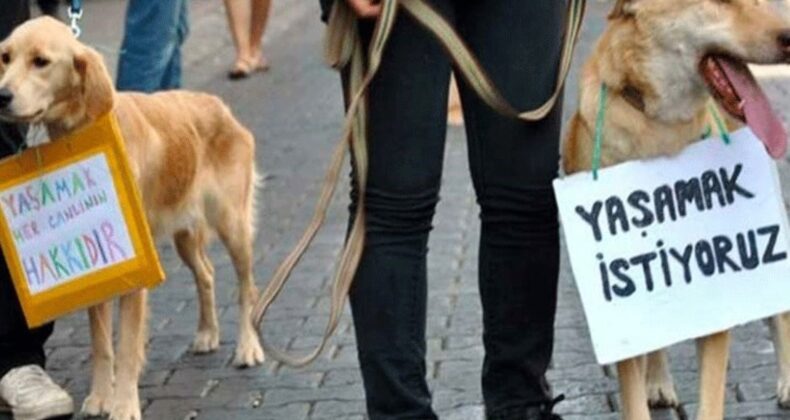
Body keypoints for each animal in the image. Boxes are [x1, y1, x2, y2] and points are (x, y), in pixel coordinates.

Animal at [0, 17, 266, 420]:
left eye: (40, 61)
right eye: (5, 57)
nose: (1, 95)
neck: (81, 128)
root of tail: (218, 105)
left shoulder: (135, 273)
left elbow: (126, 347)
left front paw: (124, 405)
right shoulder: (103, 270)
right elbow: (101, 344)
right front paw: (100, 397)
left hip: (232, 225)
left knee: (246, 287)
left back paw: (248, 348)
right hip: (184, 236)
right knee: (206, 274)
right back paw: (207, 334)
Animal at [564, 0, 790, 418]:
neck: (661, 129)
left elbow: (711, 398)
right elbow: (633, 392)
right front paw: (648, 387)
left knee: (779, 313)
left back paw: (786, 383)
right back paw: (658, 381)